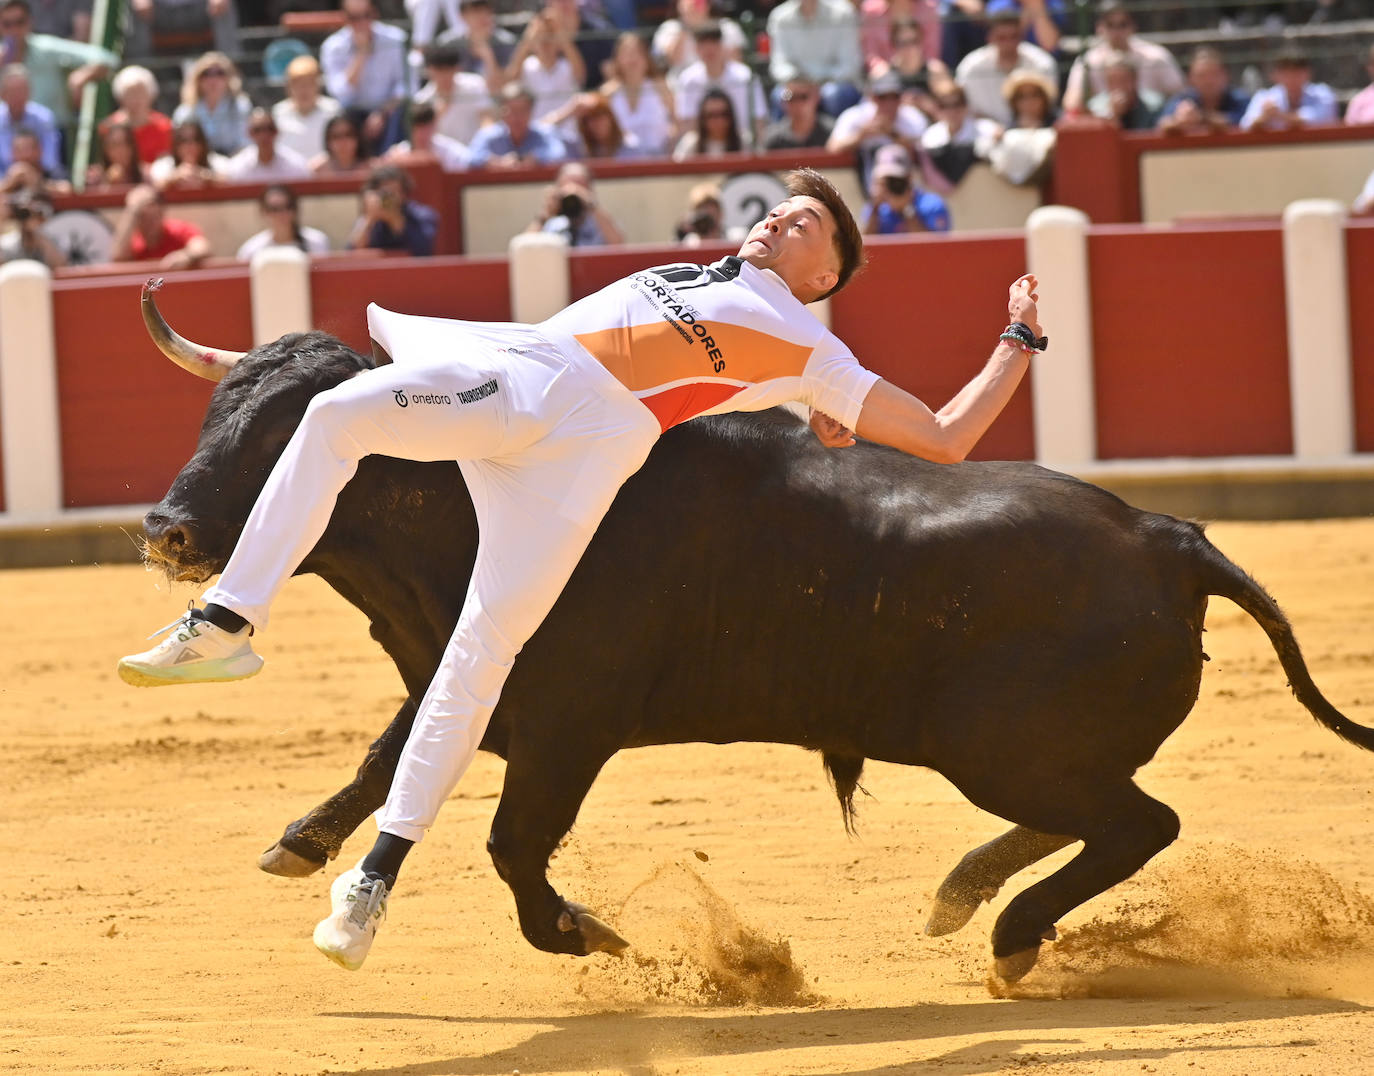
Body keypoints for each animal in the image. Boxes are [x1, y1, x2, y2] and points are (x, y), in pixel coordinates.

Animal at [139, 324, 1374, 978]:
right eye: (213, 414)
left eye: (287, 432)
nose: (166, 528)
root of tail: (1169, 535)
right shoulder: (477, 683)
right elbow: (385, 760)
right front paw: (298, 844)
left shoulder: (568, 725)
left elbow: (508, 843)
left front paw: (585, 931)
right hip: (1017, 753)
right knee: (1103, 816)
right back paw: (964, 893)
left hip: (1004, 747)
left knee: (1138, 822)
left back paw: (1011, 932)